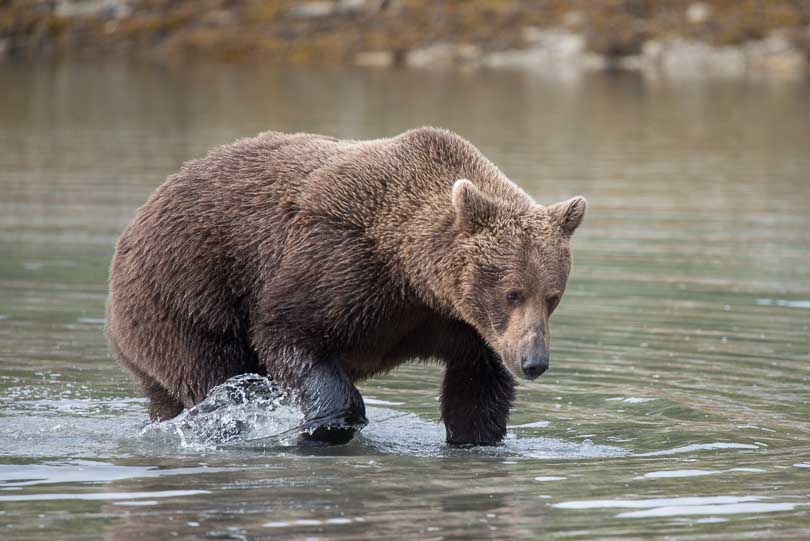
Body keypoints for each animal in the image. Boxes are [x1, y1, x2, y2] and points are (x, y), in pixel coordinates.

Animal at [107, 129, 588, 446]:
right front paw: (329, 422)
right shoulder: (341, 264)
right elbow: (287, 332)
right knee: (214, 375)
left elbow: (476, 393)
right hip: (184, 291)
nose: (533, 362)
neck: (412, 275)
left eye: (552, 296)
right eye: (512, 293)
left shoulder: (460, 327)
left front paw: (474, 436)